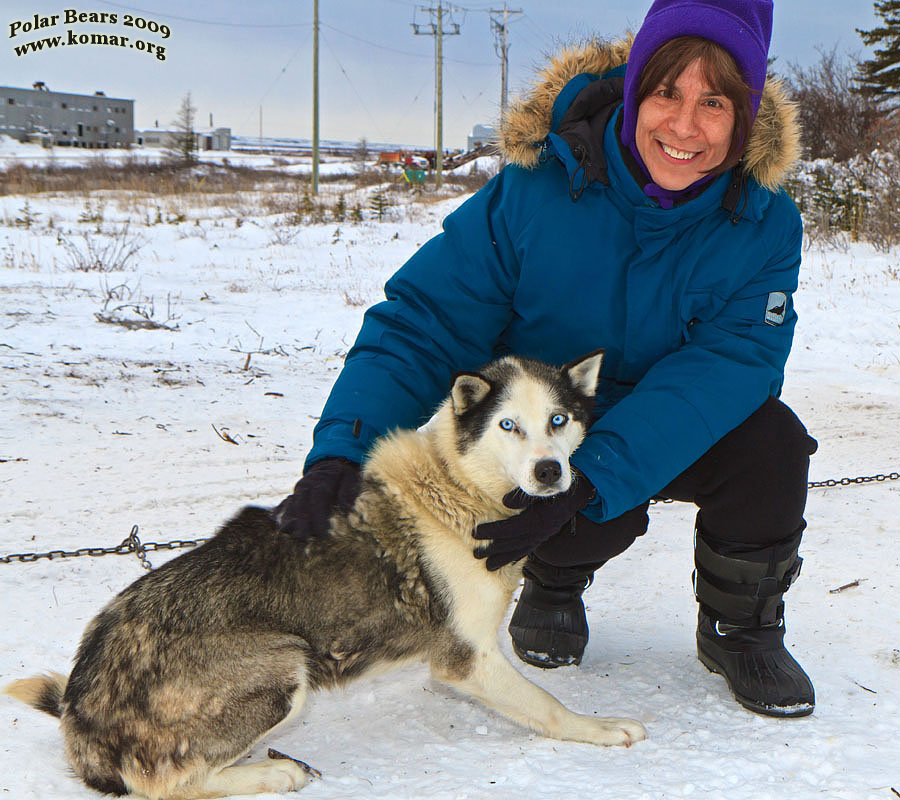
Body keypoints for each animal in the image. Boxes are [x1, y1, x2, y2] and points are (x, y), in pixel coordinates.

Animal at [3, 352, 644, 800]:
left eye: (558, 421)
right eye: (509, 425)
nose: (551, 471)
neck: (457, 492)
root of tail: (81, 705)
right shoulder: (467, 659)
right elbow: (548, 705)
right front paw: (599, 727)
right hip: (284, 667)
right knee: (161, 783)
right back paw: (267, 776)